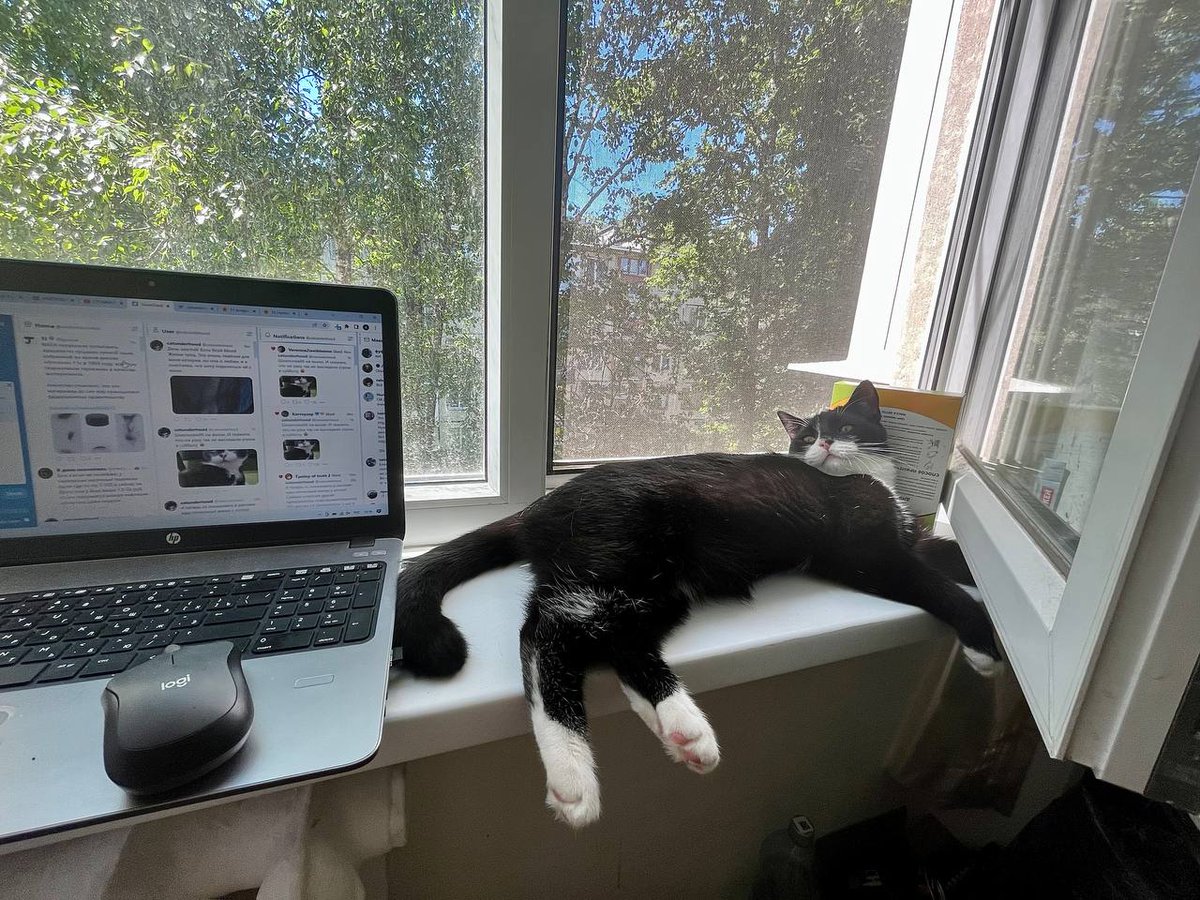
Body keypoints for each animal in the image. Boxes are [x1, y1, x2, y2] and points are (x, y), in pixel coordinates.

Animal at [393, 381, 999, 827]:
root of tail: (538, 507)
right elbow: (936, 587)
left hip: (657, 589)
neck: (856, 480)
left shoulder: (908, 541)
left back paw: (681, 728)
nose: (825, 445)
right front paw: (986, 643)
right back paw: (573, 777)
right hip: (613, 560)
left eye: (847, 428)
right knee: (547, 632)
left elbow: (952, 558)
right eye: (806, 437)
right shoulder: (868, 554)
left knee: (619, 640)